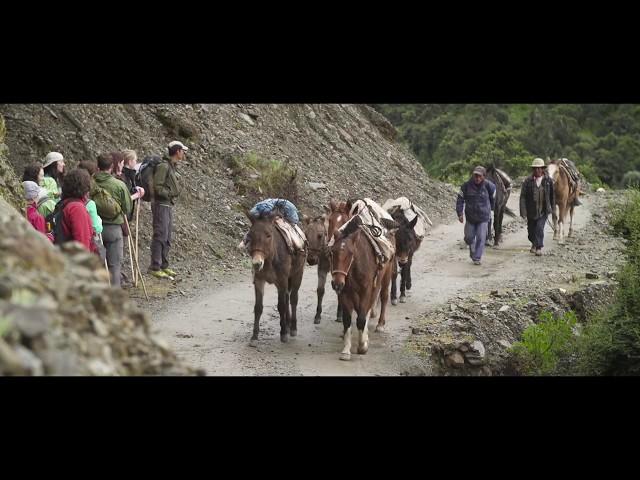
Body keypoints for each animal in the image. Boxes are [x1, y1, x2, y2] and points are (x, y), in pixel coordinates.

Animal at [246, 213, 306, 344]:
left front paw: (283, 334)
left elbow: (281, 306)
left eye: (268, 235)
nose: (257, 263)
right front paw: (254, 336)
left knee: (293, 299)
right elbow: (258, 307)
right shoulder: (259, 280)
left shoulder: (282, 281)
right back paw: (287, 324)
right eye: (250, 235)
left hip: (297, 275)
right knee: (287, 298)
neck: (269, 259)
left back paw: (292, 328)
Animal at [330, 215, 396, 360]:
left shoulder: (366, 290)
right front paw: (346, 350)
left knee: (383, 297)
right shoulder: (344, 293)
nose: (336, 283)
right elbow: (348, 319)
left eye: (350, 253)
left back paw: (380, 325)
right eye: (332, 252)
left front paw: (362, 346)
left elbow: (361, 318)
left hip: (385, 277)